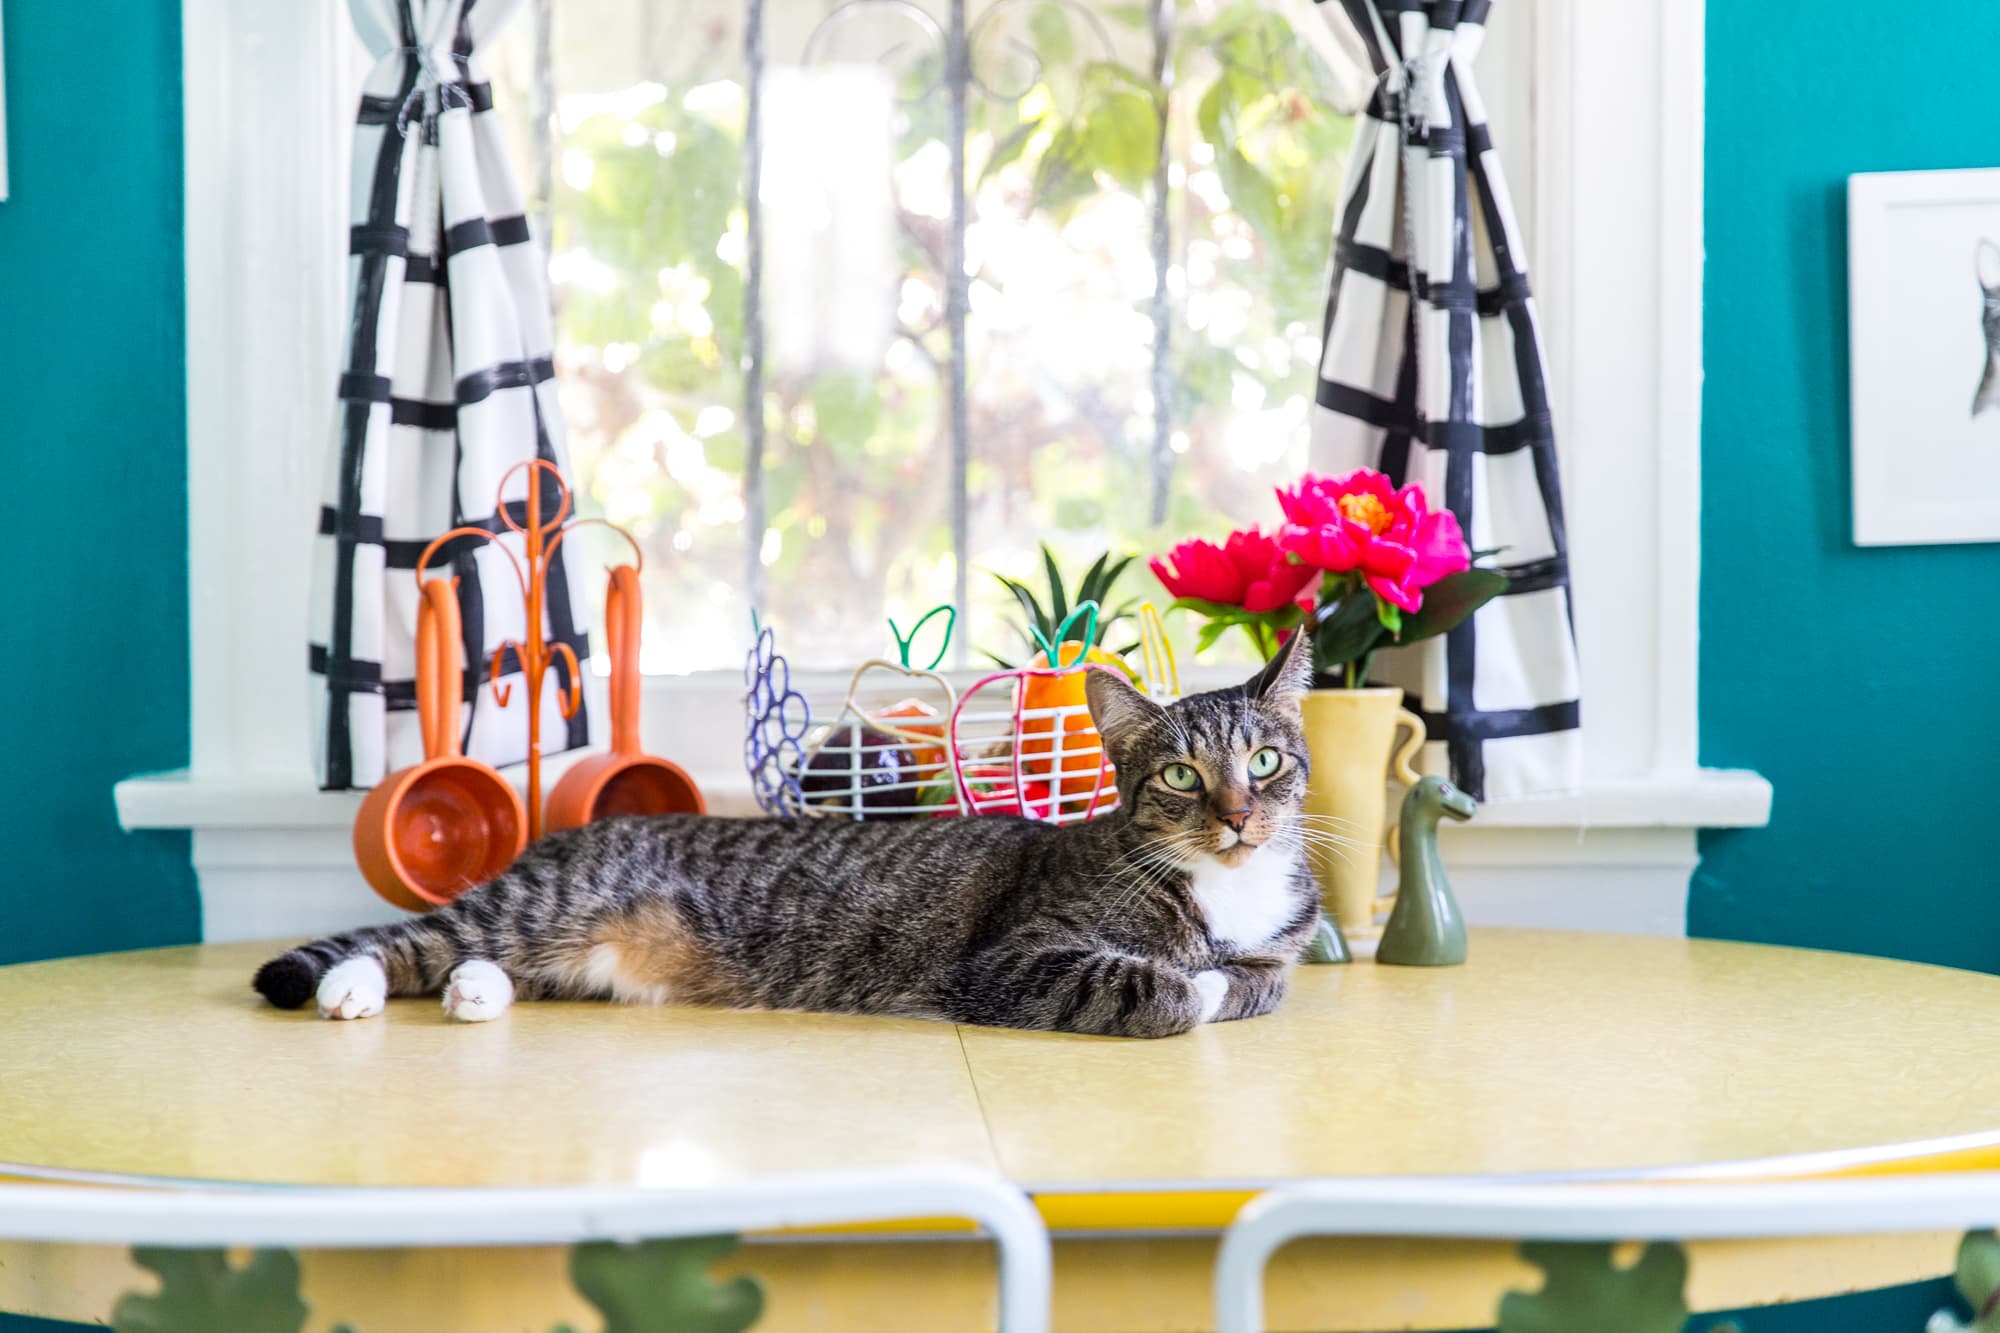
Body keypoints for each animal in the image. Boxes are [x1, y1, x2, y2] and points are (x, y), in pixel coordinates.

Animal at [262, 628, 1328, 1032]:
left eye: (1265, 763)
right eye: (1182, 775)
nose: (1239, 816)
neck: (1227, 890)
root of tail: (558, 840)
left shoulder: (1280, 951)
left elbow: (1259, 982)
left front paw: (1226, 976)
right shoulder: (1014, 960)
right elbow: (1166, 988)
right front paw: (1189, 984)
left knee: (479, 961)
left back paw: (476, 993)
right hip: (536, 903)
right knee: (407, 938)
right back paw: (348, 988)